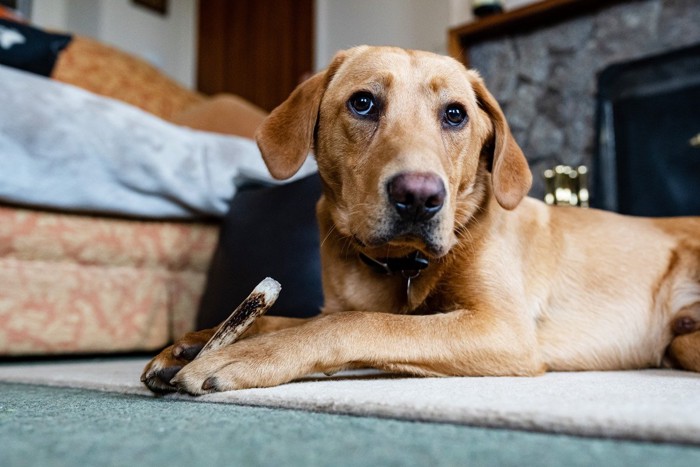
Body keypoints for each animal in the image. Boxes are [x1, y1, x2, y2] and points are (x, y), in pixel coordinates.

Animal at [141, 45, 700, 394]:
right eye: (363, 103)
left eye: (455, 114)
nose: (419, 197)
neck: (401, 264)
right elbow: (297, 316)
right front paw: (195, 341)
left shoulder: (502, 328)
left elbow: (355, 323)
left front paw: (246, 355)